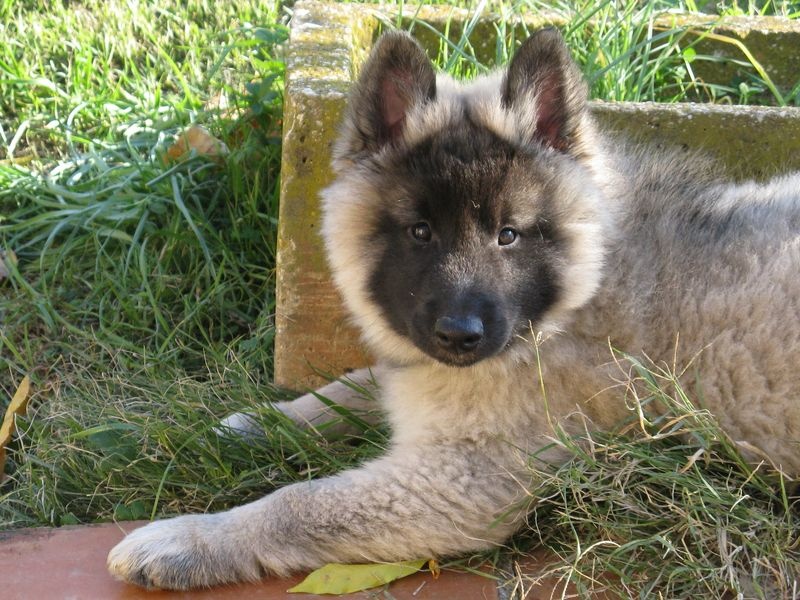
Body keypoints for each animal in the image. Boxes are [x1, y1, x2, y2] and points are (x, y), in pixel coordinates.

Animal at [107, 28, 800, 590]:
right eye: (420, 233)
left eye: (509, 235)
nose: (460, 336)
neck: (581, 292)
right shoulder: (421, 369)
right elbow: (352, 384)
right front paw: (257, 423)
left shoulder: (466, 479)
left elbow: (299, 503)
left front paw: (187, 539)